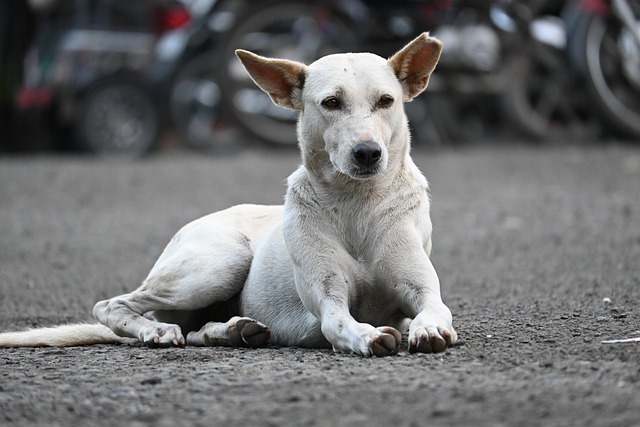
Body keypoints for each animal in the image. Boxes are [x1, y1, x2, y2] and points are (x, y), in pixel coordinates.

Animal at [2, 34, 458, 358]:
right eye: (331, 102)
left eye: (386, 101)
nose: (367, 153)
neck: (356, 202)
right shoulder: (328, 299)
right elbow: (339, 323)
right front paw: (367, 335)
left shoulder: (421, 288)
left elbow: (437, 308)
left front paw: (429, 329)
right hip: (218, 264)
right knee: (112, 305)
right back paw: (157, 330)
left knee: (196, 331)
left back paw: (234, 330)